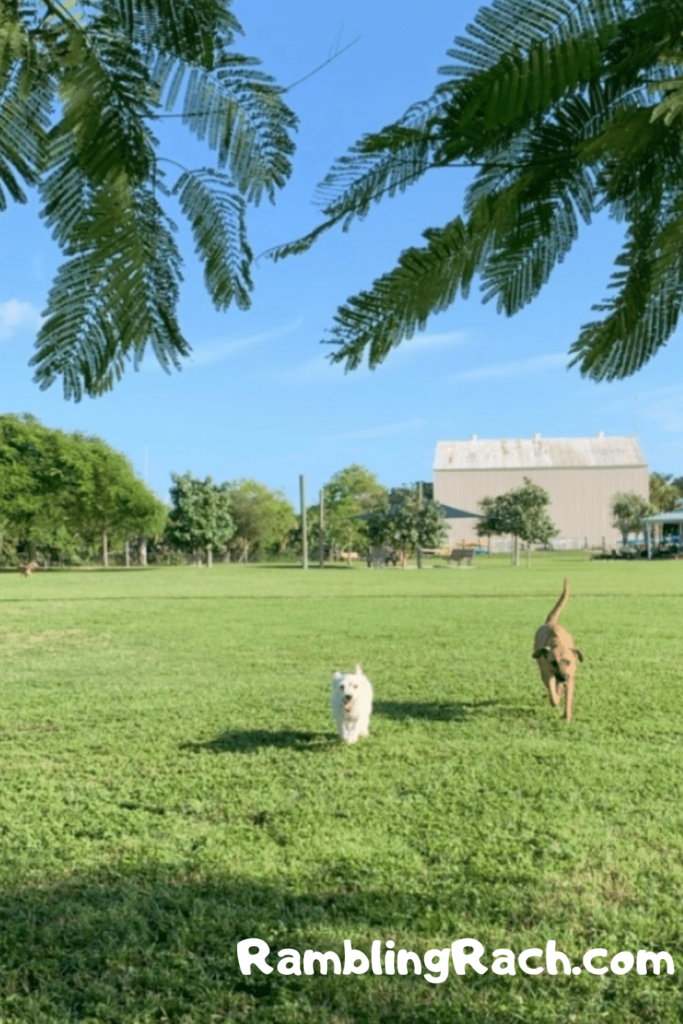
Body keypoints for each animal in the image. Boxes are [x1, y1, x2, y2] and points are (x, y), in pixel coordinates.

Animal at [532, 581, 581, 724]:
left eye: (568, 662)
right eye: (553, 662)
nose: (563, 677)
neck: (558, 642)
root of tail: (551, 621)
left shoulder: (570, 677)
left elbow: (568, 699)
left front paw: (567, 717)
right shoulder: (549, 672)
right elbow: (552, 691)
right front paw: (555, 700)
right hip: (543, 669)